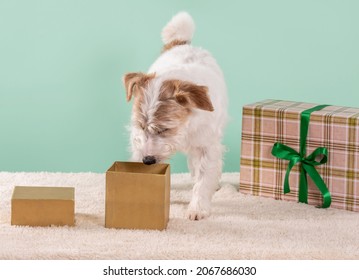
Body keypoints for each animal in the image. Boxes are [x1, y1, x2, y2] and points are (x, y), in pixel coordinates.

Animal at [123, 12, 228, 220]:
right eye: (141, 126)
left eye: (165, 129)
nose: (148, 160)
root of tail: (183, 44)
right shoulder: (138, 141)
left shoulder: (207, 146)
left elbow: (204, 177)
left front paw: (197, 208)